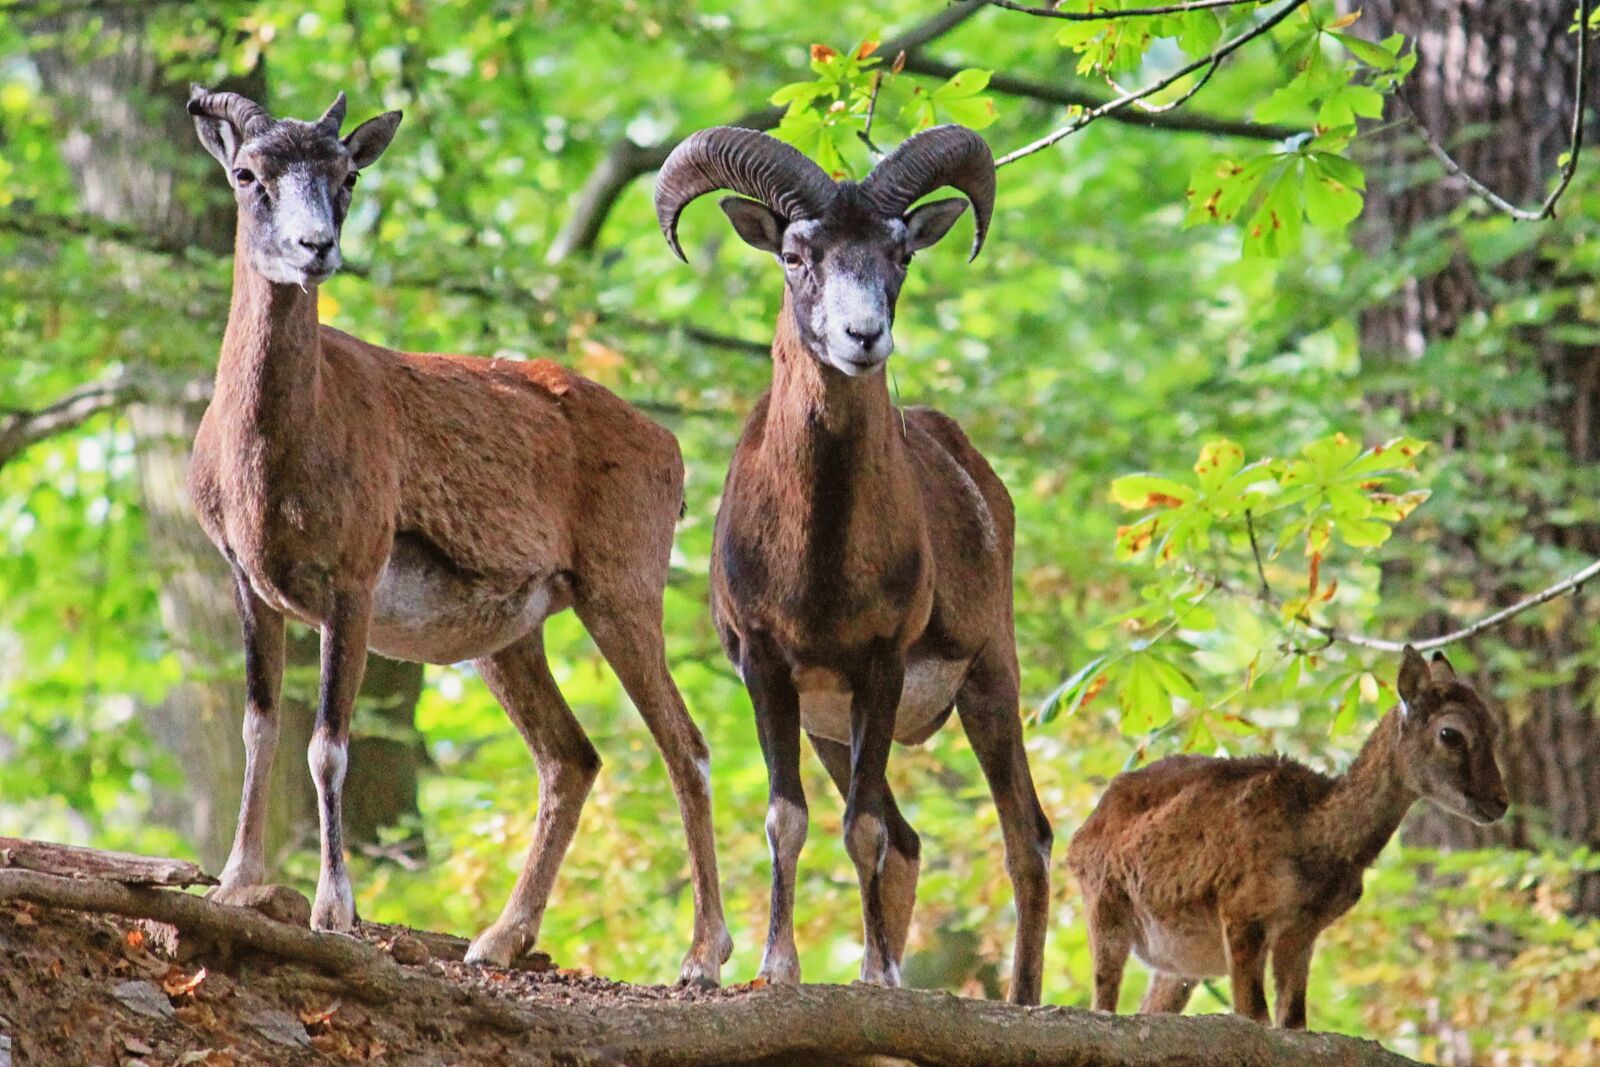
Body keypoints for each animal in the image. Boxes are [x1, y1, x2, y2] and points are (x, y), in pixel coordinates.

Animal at [184, 87, 731, 984]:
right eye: (246, 173)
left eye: (346, 173)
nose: (314, 248)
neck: (271, 457)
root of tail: (670, 450)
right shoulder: (249, 585)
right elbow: (259, 727)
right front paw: (235, 885)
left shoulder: (353, 580)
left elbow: (328, 745)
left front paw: (335, 910)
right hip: (509, 640)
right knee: (571, 756)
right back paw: (497, 939)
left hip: (621, 594)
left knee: (685, 745)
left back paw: (702, 957)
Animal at [654, 126, 1053, 1004]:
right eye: (796, 253)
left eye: (898, 253)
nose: (862, 338)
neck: (821, 560)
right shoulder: (769, 667)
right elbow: (791, 817)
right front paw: (780, 968)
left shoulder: (881, 665)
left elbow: (861, 827)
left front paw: (873, 976)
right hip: (833, 727)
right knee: (909, 839)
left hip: (989, 682)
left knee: (1026, 837)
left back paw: (1023, 998)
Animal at [1068, 645, 1508, 1028]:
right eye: (1451, 734)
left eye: (1494, 729)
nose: (1500, 801)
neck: (1316, 838)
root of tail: (1079, 836)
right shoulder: (1241, 913)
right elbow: (1254, 1014)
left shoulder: (1302, 934)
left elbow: (1292, 1020)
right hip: (1105, 908)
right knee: (1103, 998)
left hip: (1177, 967)